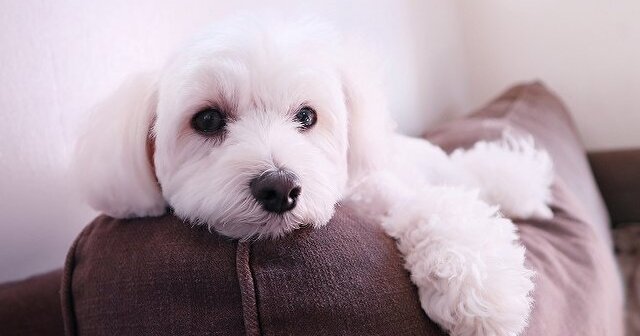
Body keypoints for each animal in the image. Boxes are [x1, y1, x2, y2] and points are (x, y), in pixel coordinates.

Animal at [74, 17, 556, 336]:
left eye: (307, 116)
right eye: (207, 120)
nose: (280, 188)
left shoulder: (386, 193)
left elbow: (439, 209)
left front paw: (484, 298)